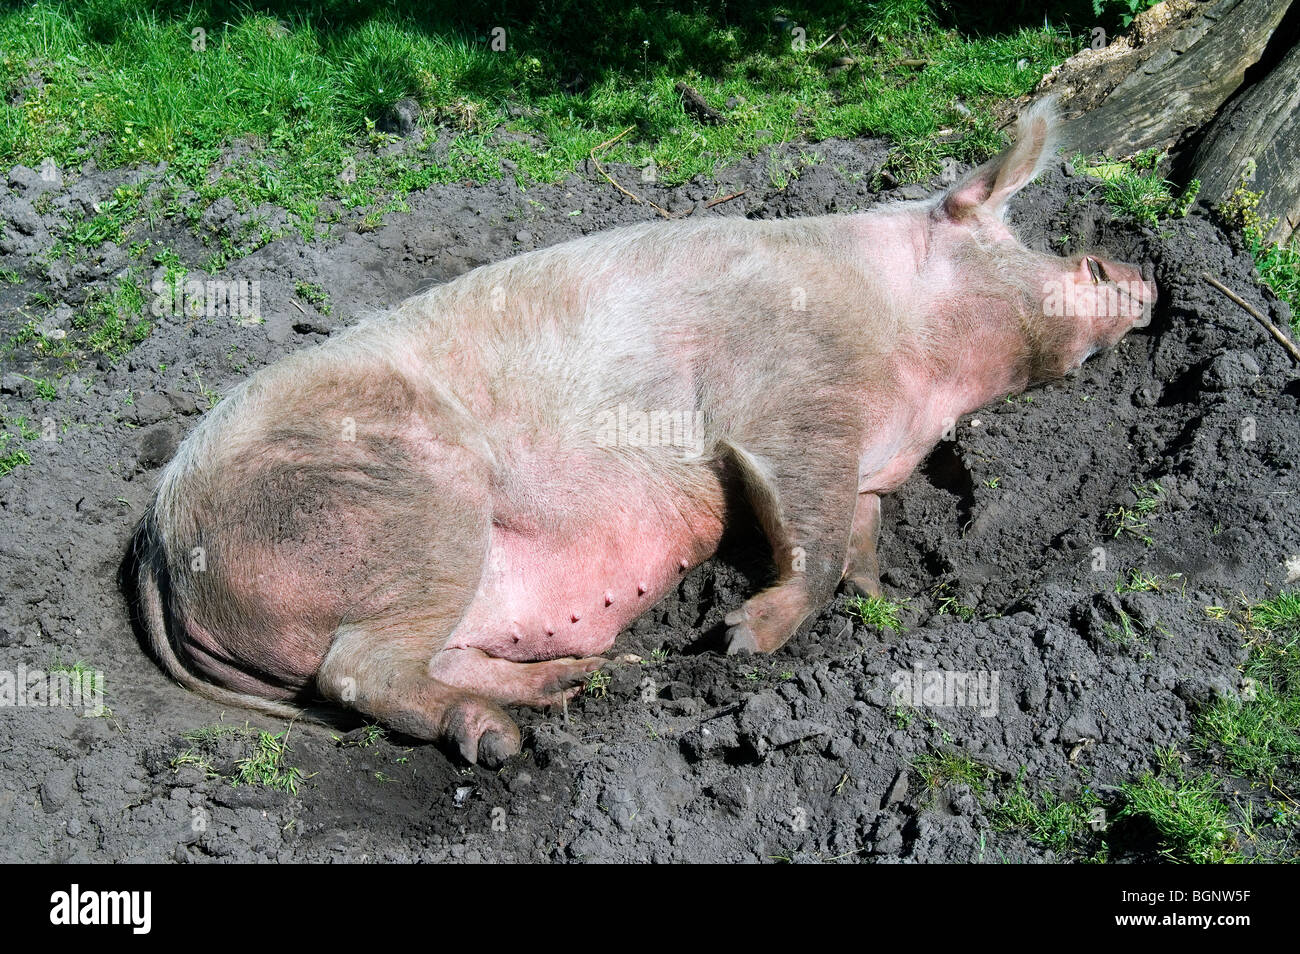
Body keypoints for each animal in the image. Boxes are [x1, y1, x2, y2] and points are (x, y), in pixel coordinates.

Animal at [130, 100, 1154, 765]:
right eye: (1036, 246)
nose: (1139, 274)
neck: (909, 352)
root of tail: (161, 536)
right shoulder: (788, 398)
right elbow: (810, 531)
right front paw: (739, 639)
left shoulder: (865, 464)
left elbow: (855, 537)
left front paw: (886, 605)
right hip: (398, 510)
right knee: (355, 672)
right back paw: (505, 741)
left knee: (424, 656)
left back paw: (584, 680)